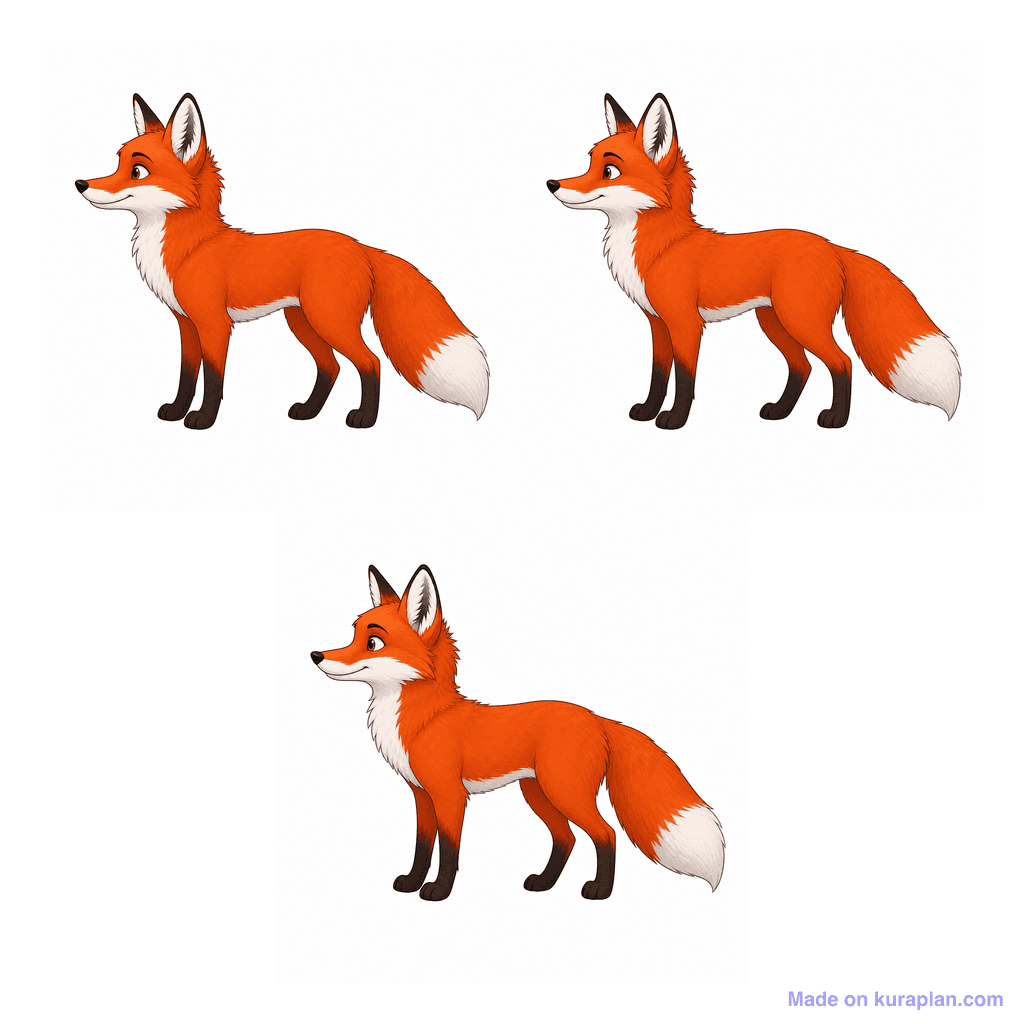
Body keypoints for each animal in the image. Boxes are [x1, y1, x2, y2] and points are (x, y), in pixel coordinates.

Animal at [76, 93, 488, 429]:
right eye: (117, 163)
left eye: (137, 171)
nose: (80, 184)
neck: (190, 247)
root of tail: (361, 246)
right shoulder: (186, 324)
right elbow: (186, 375)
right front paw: (177, 411)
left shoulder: (214, 325)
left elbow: (213, 379)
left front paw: (203, 420)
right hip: (303, 322)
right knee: (331, 366)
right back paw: (308, 411)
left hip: (328, 321)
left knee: (370, 363)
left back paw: (364, 419)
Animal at [310, 564, 725, 902]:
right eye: (352, 635)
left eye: (373, 642)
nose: (316, 655)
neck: (426, 718)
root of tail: (597, 717)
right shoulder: (421, 795)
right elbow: (422, 847)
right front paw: (412, 883)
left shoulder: (449, 796)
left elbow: (448, 851)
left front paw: (439, 891)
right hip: (539, 793)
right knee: (567, 838)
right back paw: (544, 883)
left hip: (564, 792)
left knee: (606, 834)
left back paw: (599, 891)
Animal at [548, 93, 961, 428]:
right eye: (588, 164)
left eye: (609, 171)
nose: (552, 184)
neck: (662, 247)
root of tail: (832, 246)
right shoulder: (658, 324)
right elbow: (658, 375)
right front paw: (648, 411)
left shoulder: (685, 325)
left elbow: (684, 379)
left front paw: (675, 419)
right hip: (775, 322)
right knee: (803, 366)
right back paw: (780, 411)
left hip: (800, 321)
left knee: (841, 363)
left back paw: (835, 419)